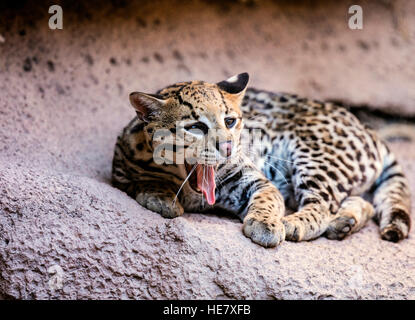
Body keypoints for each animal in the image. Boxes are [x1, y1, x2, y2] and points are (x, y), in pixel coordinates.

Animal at [111, 73, 412, 248]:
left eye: (230, 121)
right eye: (196, 127)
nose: (228, 147)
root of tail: (369, 130)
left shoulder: (255, 180)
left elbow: (268, 198)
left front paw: (266, 225)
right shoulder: (121, 164)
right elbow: (143, 178)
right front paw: (160, 194)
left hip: (317, 155)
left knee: (321, 205)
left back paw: (296, 223)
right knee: (360, 201)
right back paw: (344, 221)